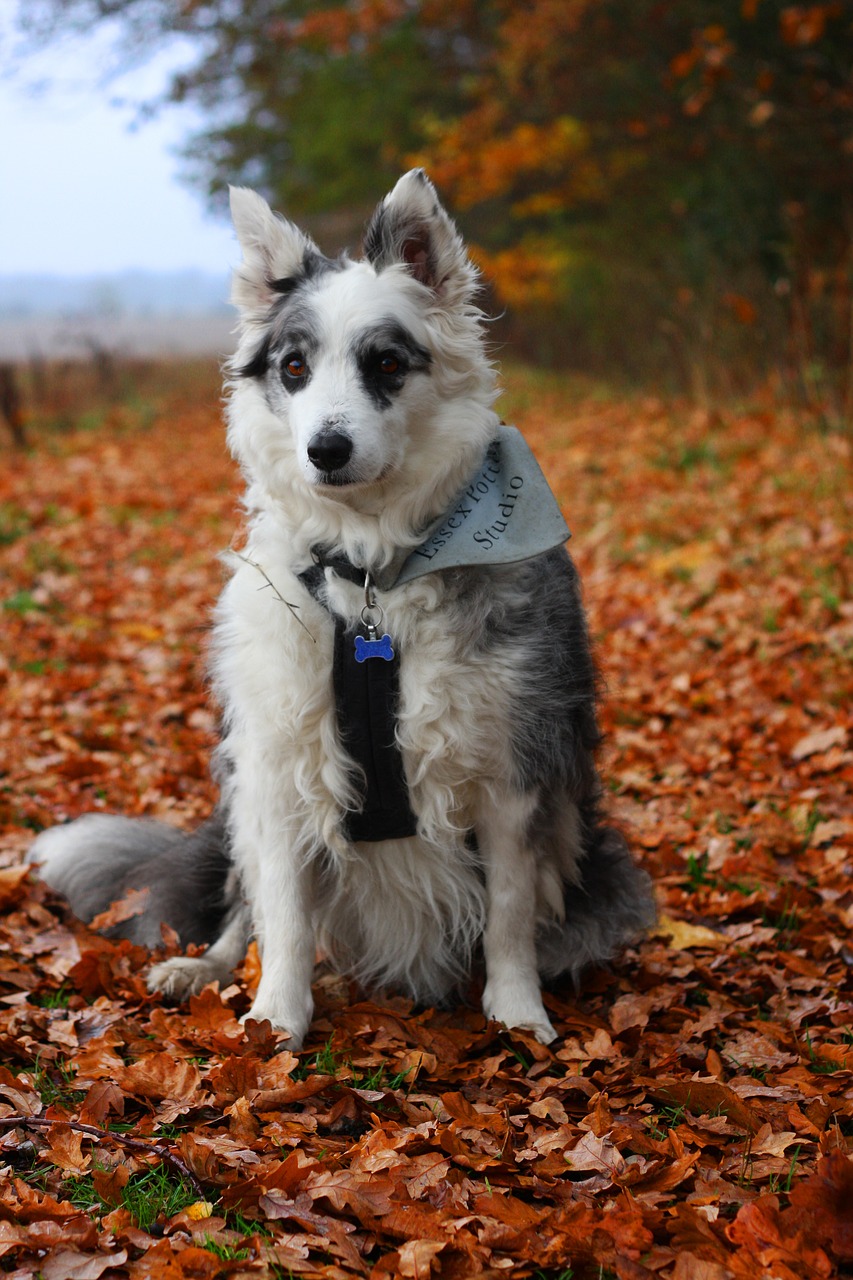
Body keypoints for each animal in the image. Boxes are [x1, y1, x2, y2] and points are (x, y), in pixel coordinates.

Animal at [26, 172, 650, 1049]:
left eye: (384, 362)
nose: (325, 449)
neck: (371, 582)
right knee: (242, 909)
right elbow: (284, 919)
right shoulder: (281, 767)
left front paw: (518, 1011)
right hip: (241, 808)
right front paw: (273, 1022)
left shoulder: (511, 772)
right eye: (293, 367)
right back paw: (205, 968)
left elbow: (509, 912)